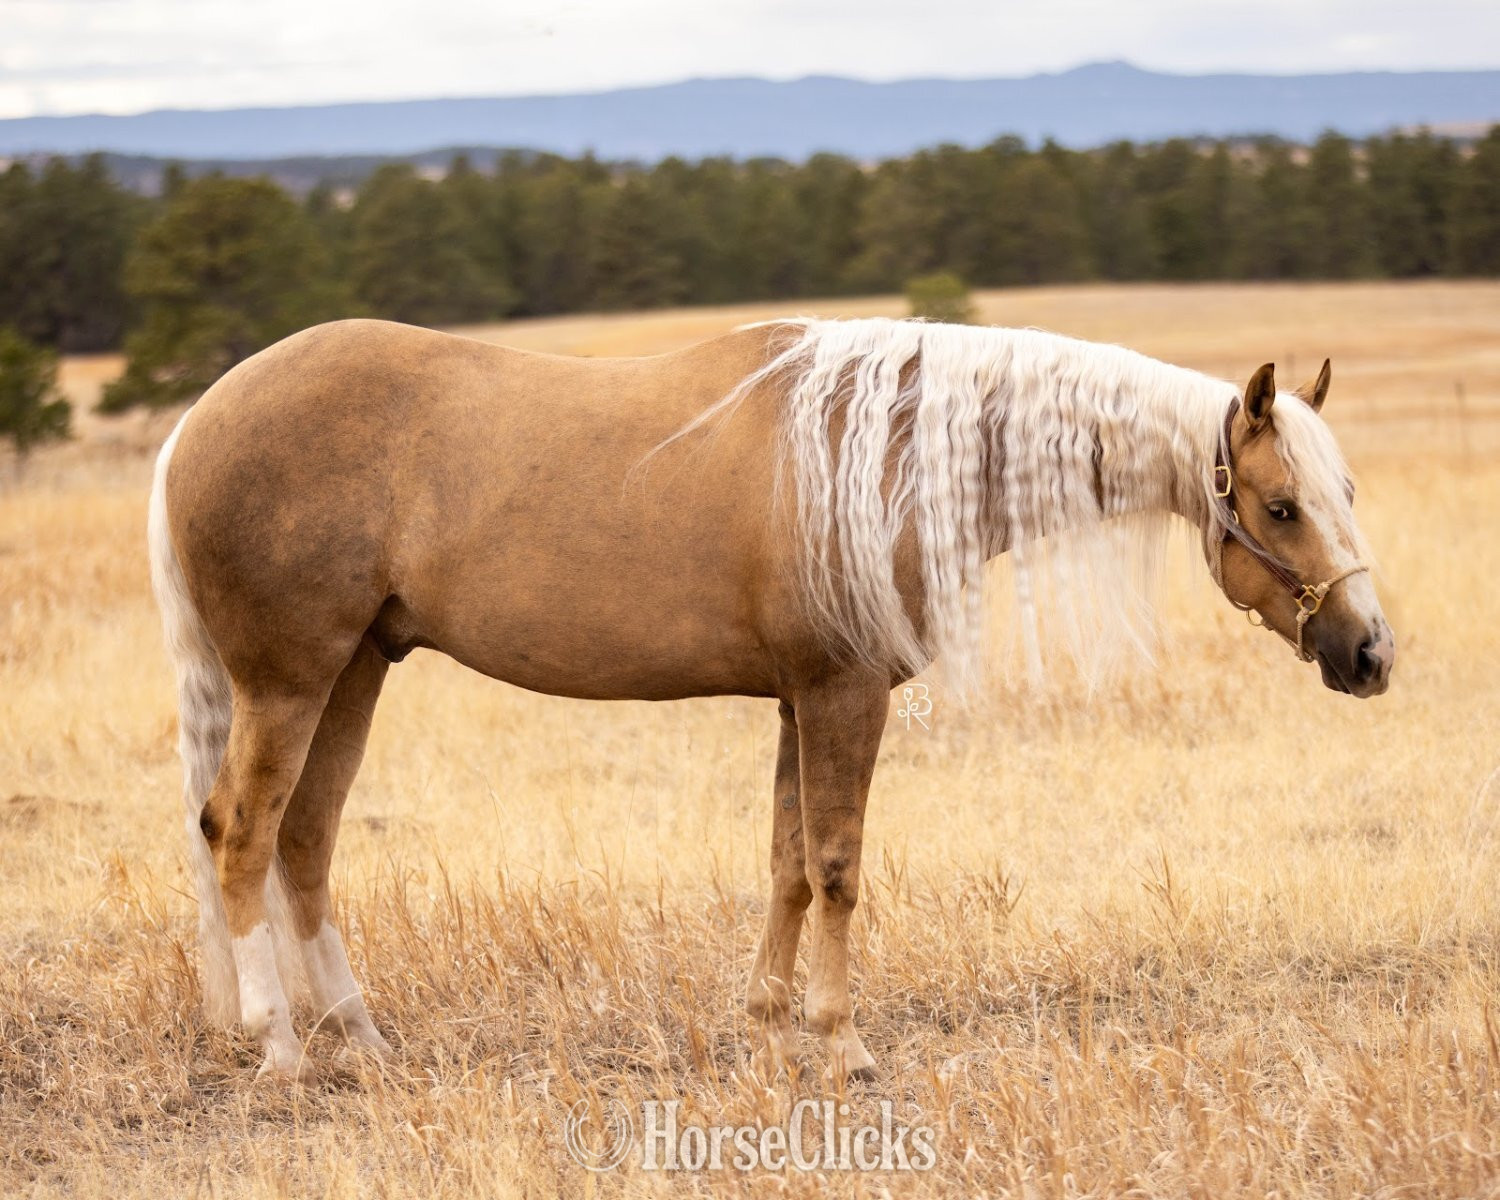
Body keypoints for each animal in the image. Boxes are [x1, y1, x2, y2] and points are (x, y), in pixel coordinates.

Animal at [147, 316, 1393, 1081]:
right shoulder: (846, 693)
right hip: (291, 679)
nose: (1370, 652)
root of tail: (196, 422)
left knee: (305, 839)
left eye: (1343, 488)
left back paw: (359, 1036)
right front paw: (841, 1044)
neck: (885, 453)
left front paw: (764, 1027)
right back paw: (279, 1044)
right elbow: (839, 867)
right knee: (241, 835)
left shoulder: (800, 701)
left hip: (356, 668)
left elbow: (789, 863)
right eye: (1281, 506)